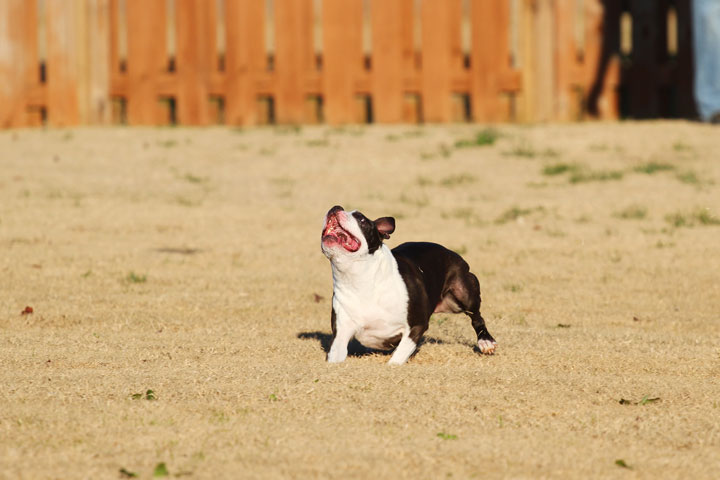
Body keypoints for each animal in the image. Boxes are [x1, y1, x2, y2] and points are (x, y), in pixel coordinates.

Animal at [320, 204, 496, 366]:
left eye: (361, 219)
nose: (336, 207)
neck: (359, 279)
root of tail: (450, 251)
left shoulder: (416, 326)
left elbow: (398, 356)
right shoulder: (340, 334)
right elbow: (335, 356)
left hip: (463, 292)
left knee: (476, 316)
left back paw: (486, 341)